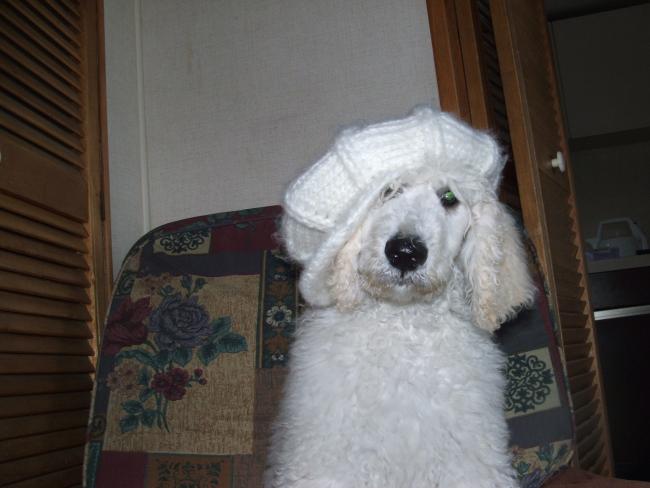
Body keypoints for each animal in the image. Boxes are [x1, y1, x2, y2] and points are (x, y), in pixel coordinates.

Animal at [264, 107, 532, 488]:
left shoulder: (468, 459)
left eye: (449, 198)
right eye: (388, 191)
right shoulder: (327, 461)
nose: (405, 252)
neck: (405, 328)